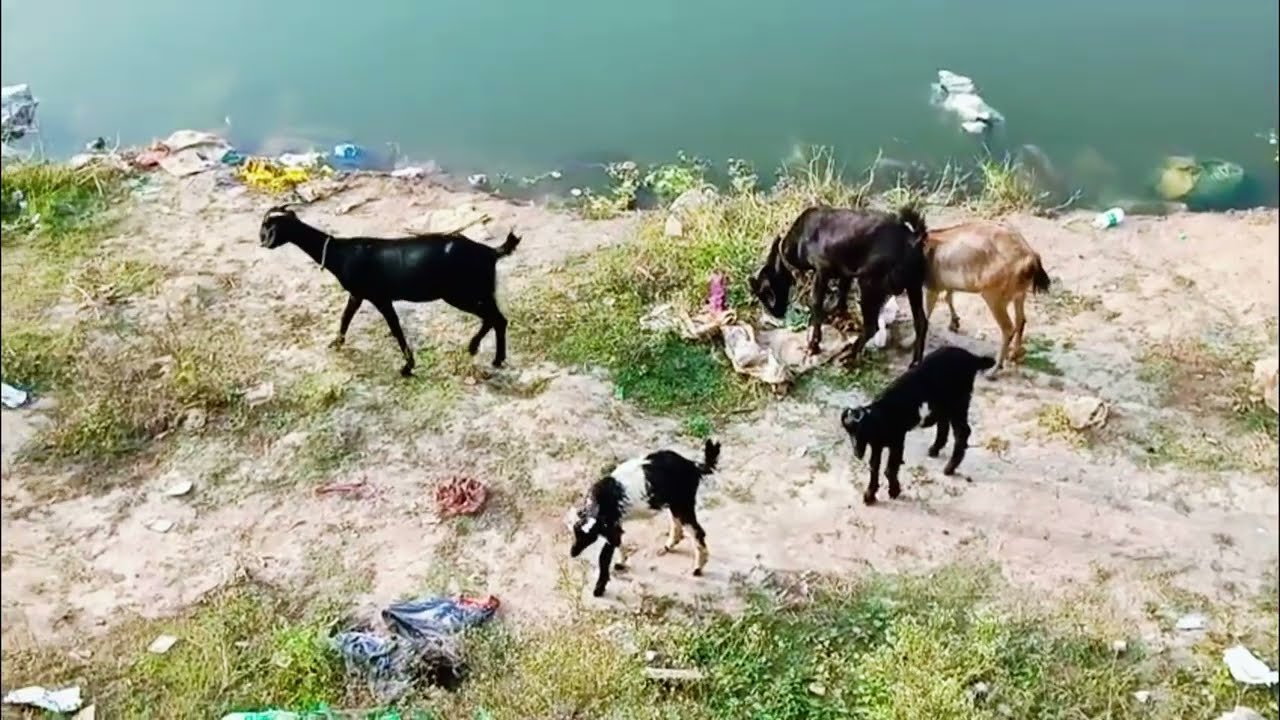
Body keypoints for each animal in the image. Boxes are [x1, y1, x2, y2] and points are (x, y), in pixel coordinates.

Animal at [258, 206, 520, 376]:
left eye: (269, 227)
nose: (263, 242)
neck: (339, 253)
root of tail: (491, 252)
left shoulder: (379, 297)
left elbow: (395, 328)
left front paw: (407, 366)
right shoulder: (358, 294)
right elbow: (346, 317)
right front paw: (336, 343)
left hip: (462, 293)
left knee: (495, 318)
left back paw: (491, 356)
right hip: (480, 292)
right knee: (495, 319)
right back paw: (481, 350)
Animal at [565, 439, 720, 597]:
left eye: (591, 538)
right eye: (575, 532)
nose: (573, 552)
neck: (602, 500)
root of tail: (693, 465)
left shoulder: (610, 527)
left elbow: (604, 557)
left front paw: (599, 588)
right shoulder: (614, 526)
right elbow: (618, 542)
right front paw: (621, 562)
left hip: (683, 503)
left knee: (697, 532)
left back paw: (698, 568)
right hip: (674, 503)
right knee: (677, 522)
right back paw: (669, 545)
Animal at [749, 206, 930, 366]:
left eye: (764, 295)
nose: (776, 315)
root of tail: (912, 240)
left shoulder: (822, 270)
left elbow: (816, 304)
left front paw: (814, 345)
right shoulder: (845, 273)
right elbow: (842, 294)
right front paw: (840, 316)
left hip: (869, 285)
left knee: (872, 326)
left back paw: (849, 356)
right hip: (914, 285)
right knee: (921, 322)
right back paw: (915, 362)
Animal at [839, 346, 995, 505]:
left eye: (860, 431)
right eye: (848, 432)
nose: (857, 453)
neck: (881, 416)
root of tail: (973, 358)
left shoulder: (897, 439)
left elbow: (890, 468)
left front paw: (894, 491)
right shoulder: (877, 445)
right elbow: (874, 467)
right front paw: (870, 495)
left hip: (959, 402)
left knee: (962, 432)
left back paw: (949, 468)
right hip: (944, 404)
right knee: (944, 423)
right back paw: (935, 449)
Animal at [922, 221, 1051, 371]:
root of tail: (1030, 258)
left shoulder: (931, 286)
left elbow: (926, 313)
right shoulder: (945, 283)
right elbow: (948, 296)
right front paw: (954, 323)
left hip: (994, 297)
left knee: (1008, 328)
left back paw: (995, 368)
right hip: (1019, 294)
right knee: (1021, 320)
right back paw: (1013, 354)